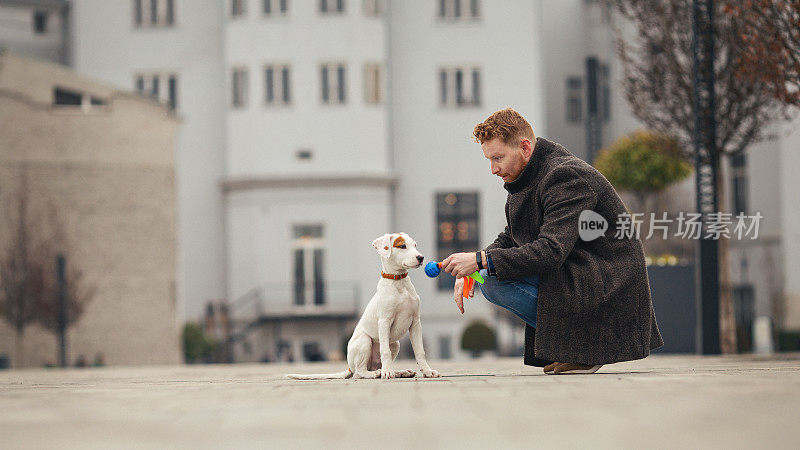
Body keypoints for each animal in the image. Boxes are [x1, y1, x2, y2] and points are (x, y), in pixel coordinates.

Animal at [288, 236, 440, 380]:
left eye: (415, 245)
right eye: (402, 246)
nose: (421, 257)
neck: (399, 282)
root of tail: (349, 367)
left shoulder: (415, 322)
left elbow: (420, 351)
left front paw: (428, 371)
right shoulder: (384, 321)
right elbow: (385, 351)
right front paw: (387, 373)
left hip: (395, 343)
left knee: (379, 364)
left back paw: (399, 372)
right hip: (364, 341)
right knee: (360, 372)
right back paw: (378, 373)